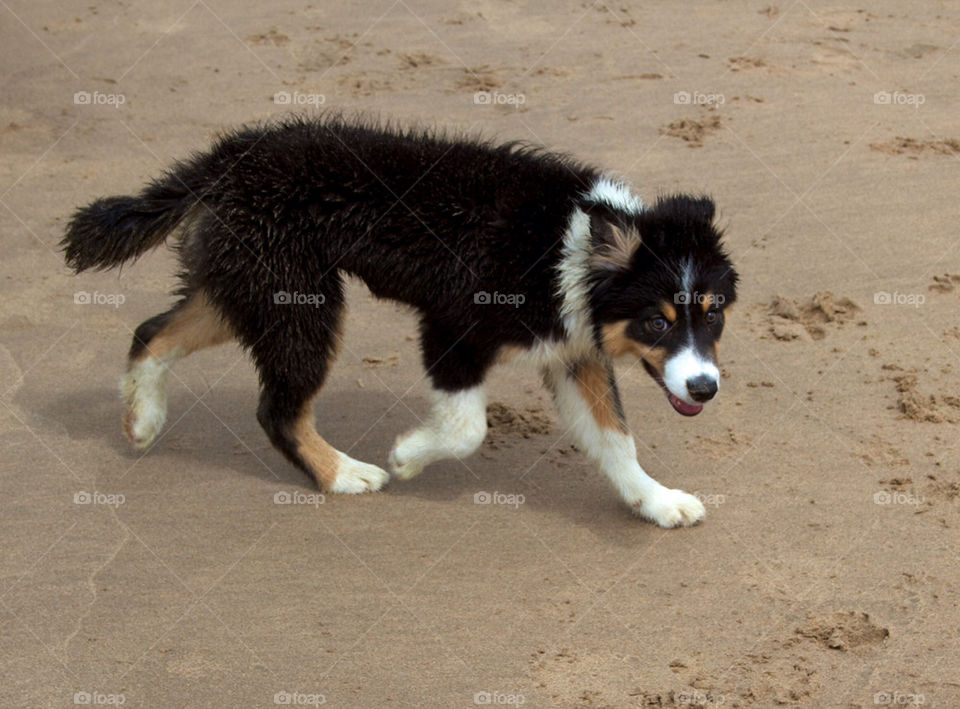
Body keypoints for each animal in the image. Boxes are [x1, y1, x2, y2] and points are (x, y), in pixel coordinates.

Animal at [63, 115, 740, 524]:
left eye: (713, 316)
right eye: (657, 322)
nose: (705, 387)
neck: (567, 250)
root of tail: (226, 158)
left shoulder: (575, 350)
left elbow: (615, 438)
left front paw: (657, 502)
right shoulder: (452, 325)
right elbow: (467, 427)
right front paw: (409, 456)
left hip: (247, 287)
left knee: (151, 333)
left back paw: (143, 419)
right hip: (301, 305)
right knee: (276, 409)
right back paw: (344, 476)